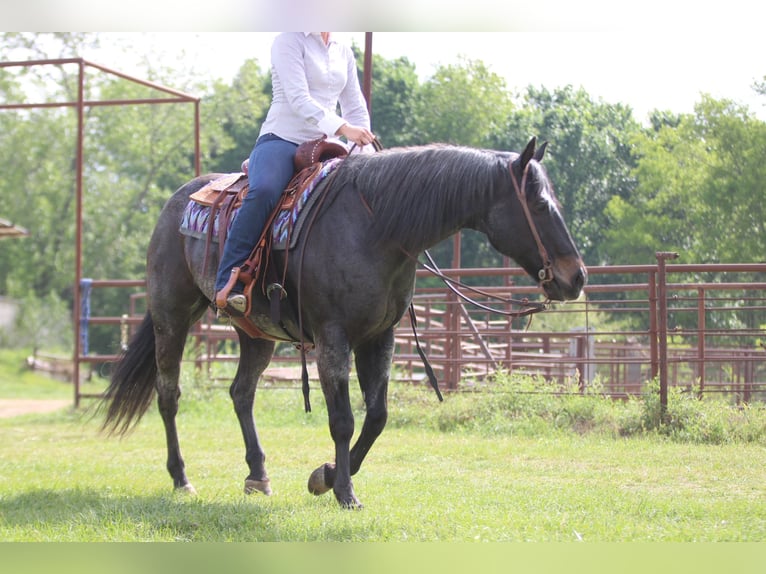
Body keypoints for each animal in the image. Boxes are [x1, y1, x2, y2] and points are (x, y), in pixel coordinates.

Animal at [100, 137, 587, 508]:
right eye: (538, 203)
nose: (576, 276)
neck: (377, 226)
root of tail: (177, 201)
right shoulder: (333, 337)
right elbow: (343, 420)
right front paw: (344, 491)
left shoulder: (379, 337)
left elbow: (378, 417)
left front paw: (328, 475)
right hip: (172, 317)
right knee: (169, 394)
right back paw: (181, 477)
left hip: (255, 332)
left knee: (241, 393)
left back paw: (258, 475)